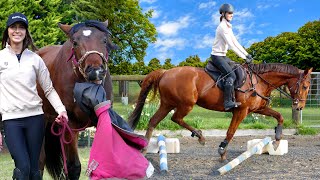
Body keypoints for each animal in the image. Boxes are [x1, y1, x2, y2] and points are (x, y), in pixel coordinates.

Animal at [37, 20, 117, 180]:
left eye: (104, 40)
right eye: (75, 43)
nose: (95, 71)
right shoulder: (70, 124)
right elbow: (74, 167)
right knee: (39, 161)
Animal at [128, 63, 312, 160]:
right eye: (304, 86)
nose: (299, 107)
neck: (259, 81)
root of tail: (166, 72)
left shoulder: (258, 108)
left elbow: (279, 116)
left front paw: (277, 139)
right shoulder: (241, 111)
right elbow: (231, 131)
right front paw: (222, 151)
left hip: (167, 104)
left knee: (153, 121)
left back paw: (145, 149)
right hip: (185, 104)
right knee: (176, 118)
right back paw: (200, 136)